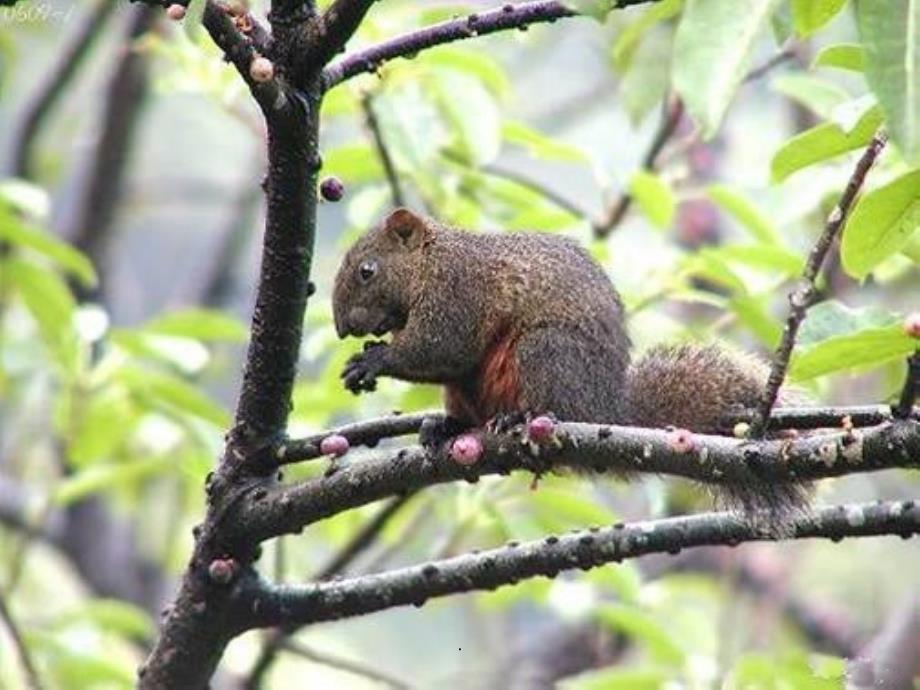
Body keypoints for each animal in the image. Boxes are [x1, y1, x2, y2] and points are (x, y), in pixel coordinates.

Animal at [334, 207, 808, 520]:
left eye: (367, 271)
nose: (341, 328)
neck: (430, 262)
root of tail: (604, 412)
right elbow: (447, 361)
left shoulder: (458, 293)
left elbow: (442, 348)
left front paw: (375, 359)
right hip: (469, 389)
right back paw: (446, 427)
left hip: (544, 353)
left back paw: (515, 419)